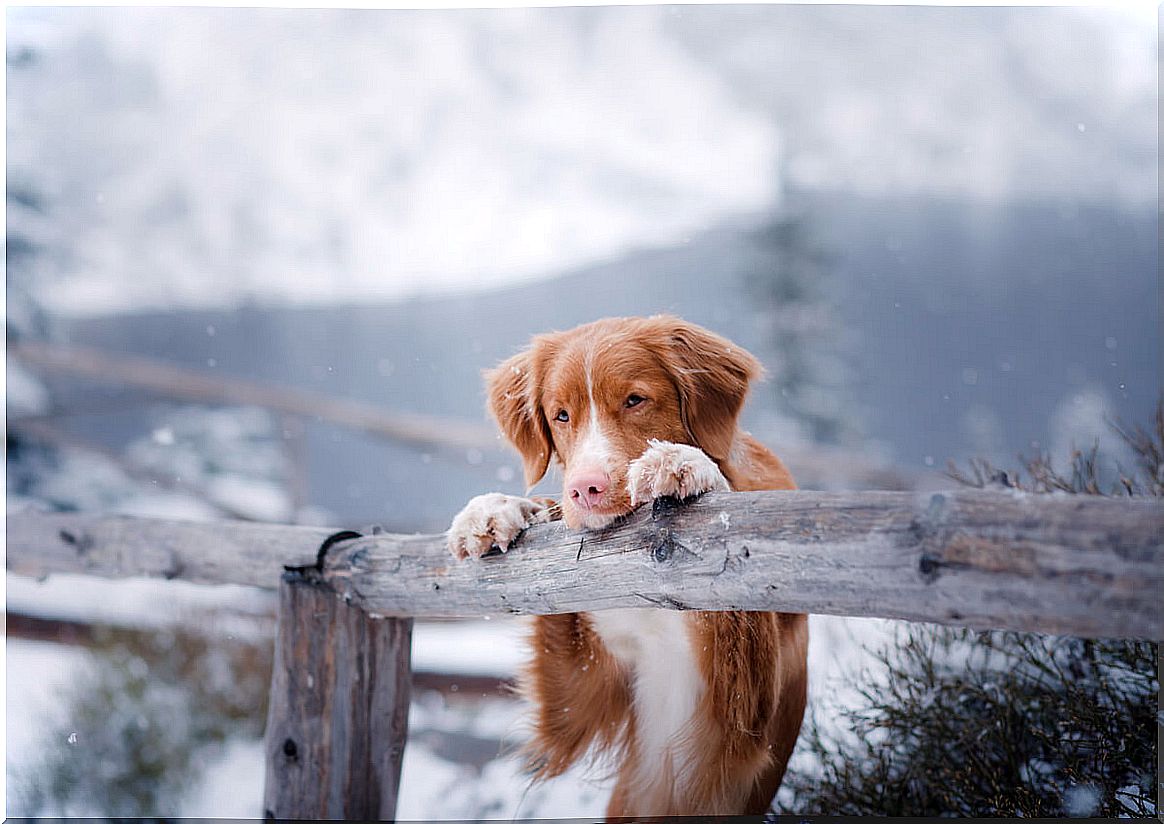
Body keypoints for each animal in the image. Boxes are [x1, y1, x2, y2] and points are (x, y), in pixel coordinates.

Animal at [444, 316, 810, 819]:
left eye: (635, 400)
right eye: (561, 415)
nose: (585, 490)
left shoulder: (739, 719)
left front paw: (683, 462)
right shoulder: (583, 689)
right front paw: (497, 509)